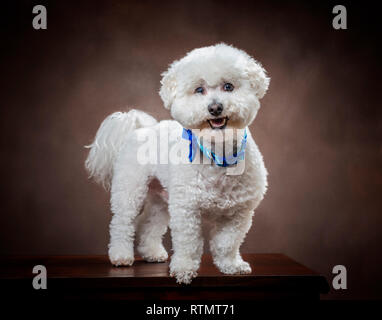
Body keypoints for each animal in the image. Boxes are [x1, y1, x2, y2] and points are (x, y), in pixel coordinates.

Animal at [85, 43, 270, 284]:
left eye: (228, 86)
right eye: (199, 90)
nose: (215, 108)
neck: (217, 154)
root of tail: (141, 129)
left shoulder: (238, 213)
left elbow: (227, 243)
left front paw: (231, 265)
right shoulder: (186, 209)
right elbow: (188, 243)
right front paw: (184, 270)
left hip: (161, 199)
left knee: (149, 225)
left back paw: (152, 253)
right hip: (130, 190)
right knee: (122, 223)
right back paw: (120, 256)